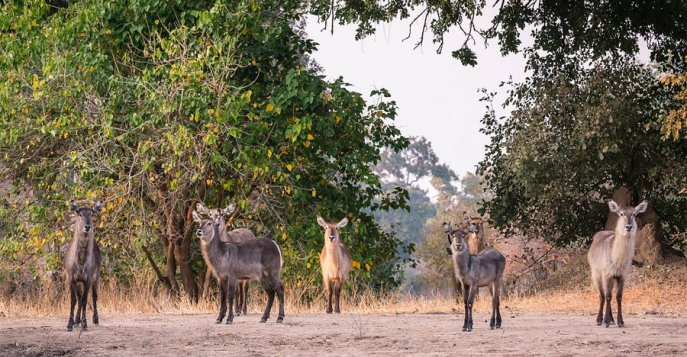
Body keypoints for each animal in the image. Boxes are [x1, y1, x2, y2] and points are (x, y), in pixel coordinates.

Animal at [65, 200, 103, 330]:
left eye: (91, 214)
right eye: (80, 214)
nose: (87, 227)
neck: (80, 262)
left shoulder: (88, 279)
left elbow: (86, 300)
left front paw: (85, 324)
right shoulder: (71, 278)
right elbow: (73, 300)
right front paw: (70, 324)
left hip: (96, 277)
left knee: (94, 297)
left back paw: (95, 320)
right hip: (79, 282)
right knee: (79, 298)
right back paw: (77, 320)